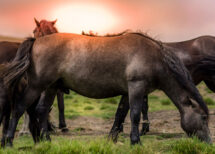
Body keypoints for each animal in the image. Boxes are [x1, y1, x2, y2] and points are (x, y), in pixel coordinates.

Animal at [1, 31, 212, 146]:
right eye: (203, 118)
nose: (209, 143)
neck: (155, 57)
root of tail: (36, 41)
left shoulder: (128, 92)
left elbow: (120, 114)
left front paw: (113, 139)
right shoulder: (136, 87)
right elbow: (135, 115)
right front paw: (136, 141)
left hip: (51, 87)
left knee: (41, 110)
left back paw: (46, 141)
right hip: (37, 86)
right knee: (19, 108)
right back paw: (9, 141)